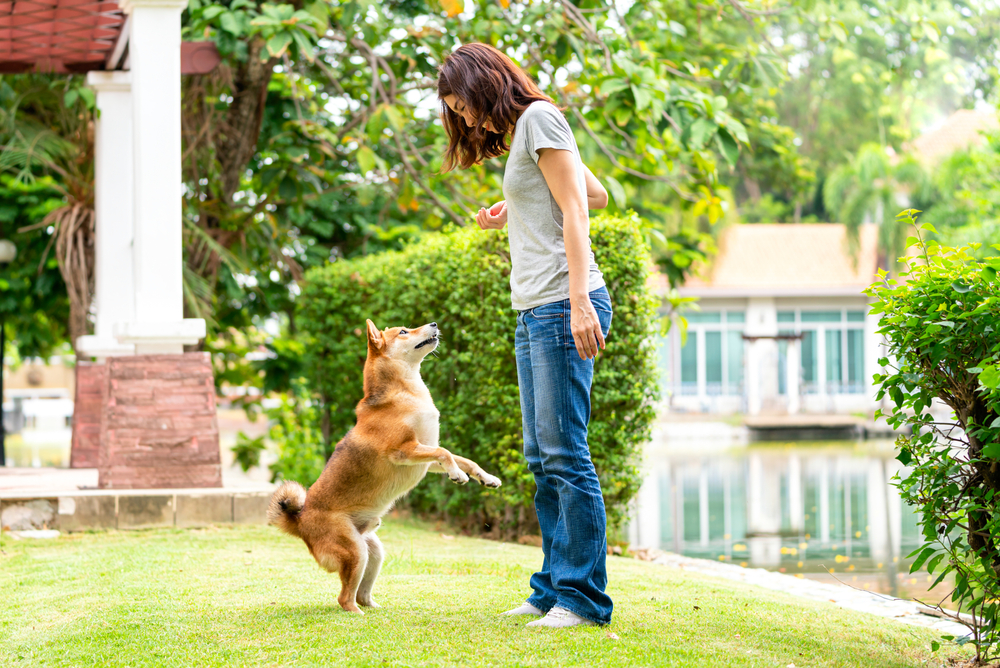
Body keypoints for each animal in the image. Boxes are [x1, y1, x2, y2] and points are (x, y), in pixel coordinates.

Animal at [268, 320, 504, 612]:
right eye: (403, 332)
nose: (434, 323)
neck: (403, 392)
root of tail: (300, 521)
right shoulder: (404, 451)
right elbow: (446, 452)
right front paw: (457, 474)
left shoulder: (425, 456)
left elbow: (461, 458)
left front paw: (486, 477)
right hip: (355, 551)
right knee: (344, 598)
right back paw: (356, 614)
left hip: (372, 551)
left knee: (361, 592)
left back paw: (375, 609)